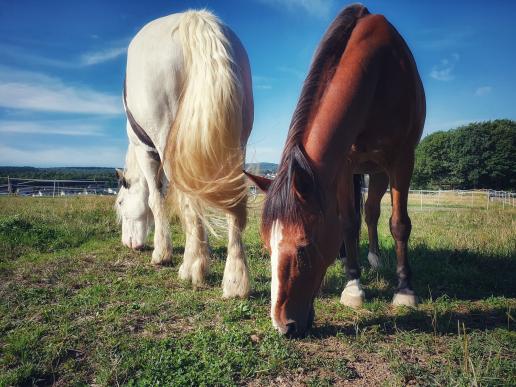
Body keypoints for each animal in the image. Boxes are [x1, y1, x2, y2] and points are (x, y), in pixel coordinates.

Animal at [116, 9, 255, 300]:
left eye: (121, 203)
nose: (128, 244)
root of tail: (195, 20)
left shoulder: (146, 151)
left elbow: (156, 200)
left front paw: (162, 253)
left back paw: (192, 267)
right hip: (237, 143)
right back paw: (235, 280)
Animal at [248, 3, 426, 336]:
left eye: (303, 248)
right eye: (267, 247)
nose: (283, 326)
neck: (379, 74)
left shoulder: (402, 159)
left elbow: (399, 224)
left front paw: (405, 291)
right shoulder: (343, 164)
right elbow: (347, 223)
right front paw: (353, 286)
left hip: (380, 171)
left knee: (372, 212)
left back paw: (375, 258)